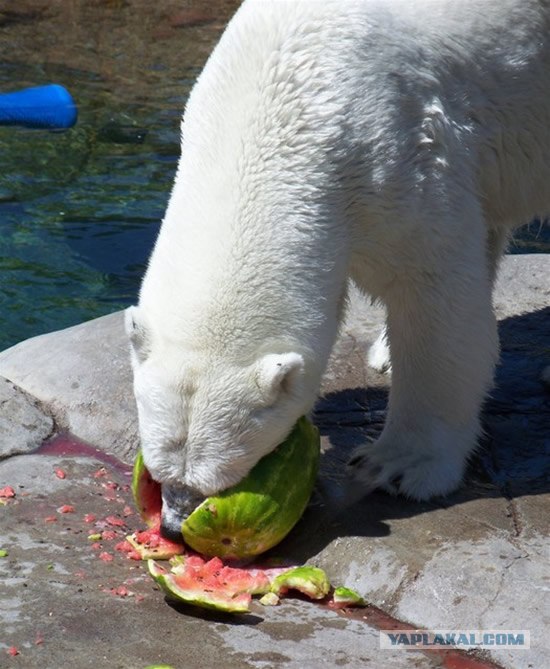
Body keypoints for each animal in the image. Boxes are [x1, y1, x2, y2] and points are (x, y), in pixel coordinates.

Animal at [127, 0, 550, 532]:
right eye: (161, 472)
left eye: (215, 478)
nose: (173, 523)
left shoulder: (401, 149)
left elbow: (434, 292)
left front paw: (400, 463)